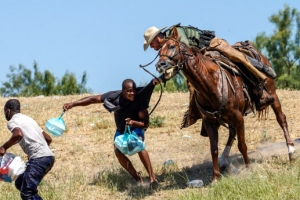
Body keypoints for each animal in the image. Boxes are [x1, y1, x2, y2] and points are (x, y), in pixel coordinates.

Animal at [157, 26, 296, 181]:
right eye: (159, 51)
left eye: (172, 46)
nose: (160, 65)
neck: (211, 83)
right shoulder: (210, 121)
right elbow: (214, 149)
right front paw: (215, 178)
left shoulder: (239, 117)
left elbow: (242, 145)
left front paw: (248, 168)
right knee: (232, 131)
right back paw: (224, 159)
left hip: (273, 94)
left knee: (281, 118)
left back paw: (291, 150)